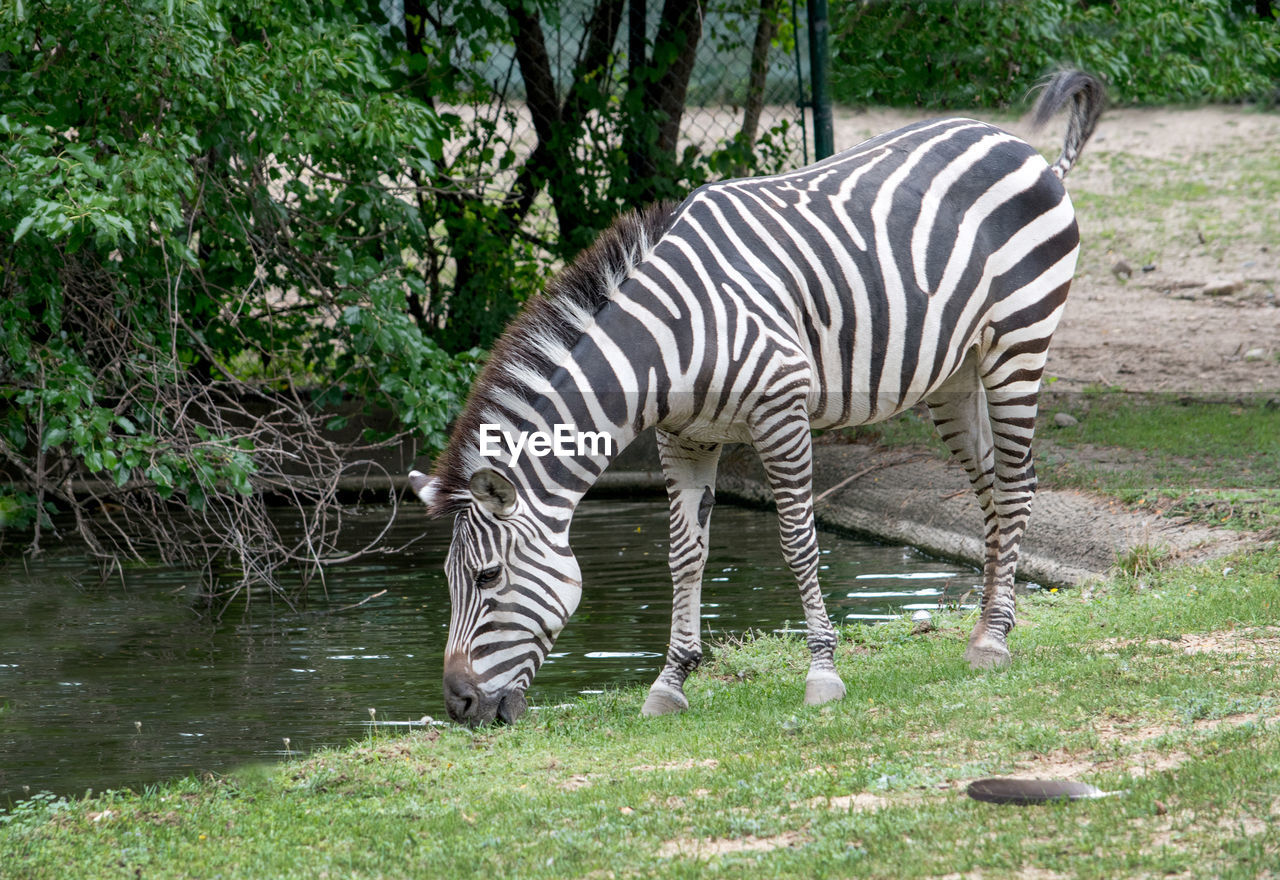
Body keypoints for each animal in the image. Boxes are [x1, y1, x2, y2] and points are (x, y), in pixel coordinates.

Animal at [407, 70, 1100, 726]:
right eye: (446, 581)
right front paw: (670, 683)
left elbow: (798, 542)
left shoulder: (781, 414)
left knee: (1015, 483)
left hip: (1019, 344)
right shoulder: (683, 438)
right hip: (954, 374)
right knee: (991, 488)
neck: (669, 341)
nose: (457, 706)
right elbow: (685, 556)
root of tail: (1023, 148)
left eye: (487, 577)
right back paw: (986, 627)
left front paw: (822, 674)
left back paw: (995, 642)